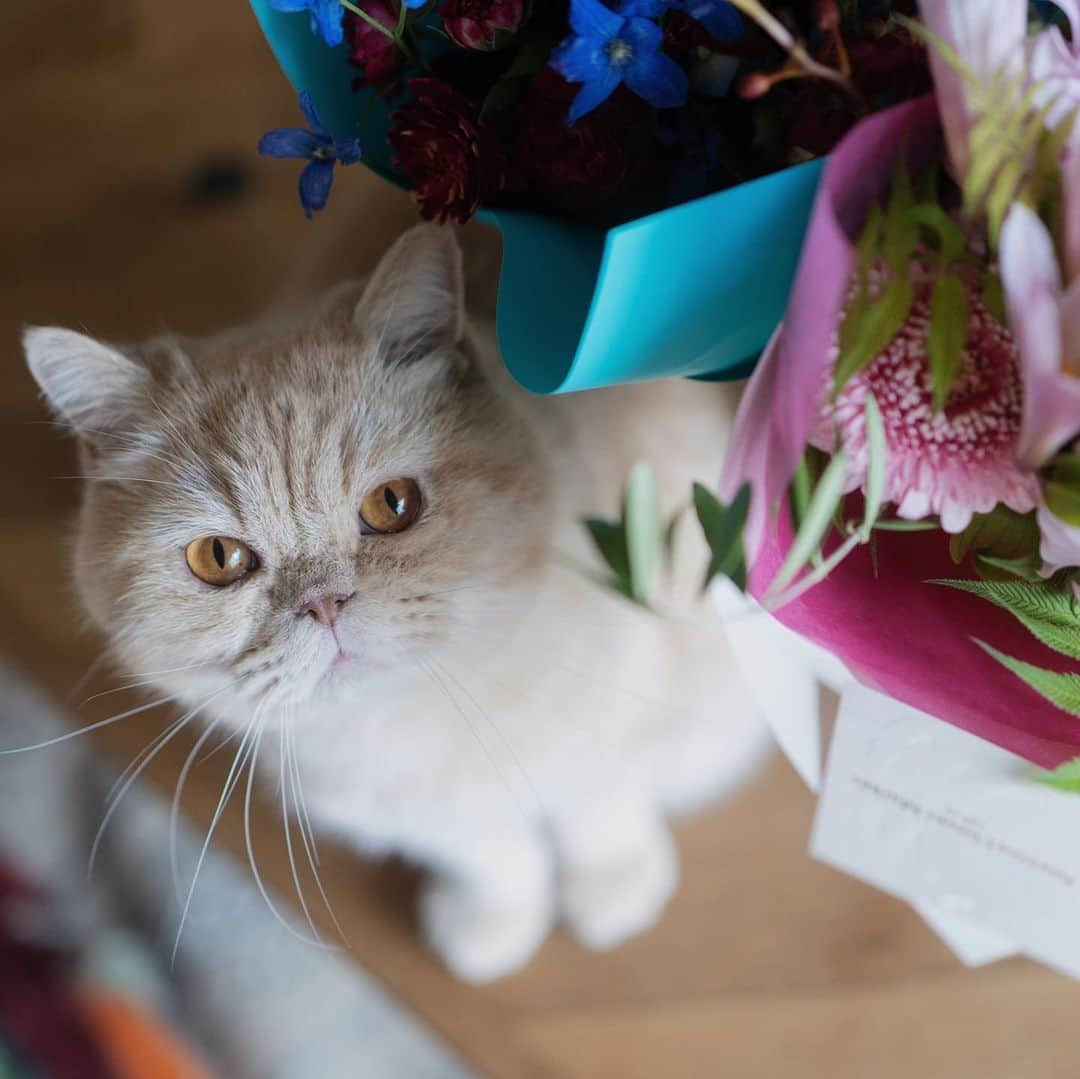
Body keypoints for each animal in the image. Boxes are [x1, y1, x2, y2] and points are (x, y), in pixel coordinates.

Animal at [23, 223, 768, 985]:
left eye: (392, 504)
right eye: (219, 558)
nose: (324, 603)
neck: (410, 728)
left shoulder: (621, 706)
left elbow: (596, 795)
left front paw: (613, 882)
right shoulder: (428, 819)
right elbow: (489, 854)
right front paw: (495, 920)